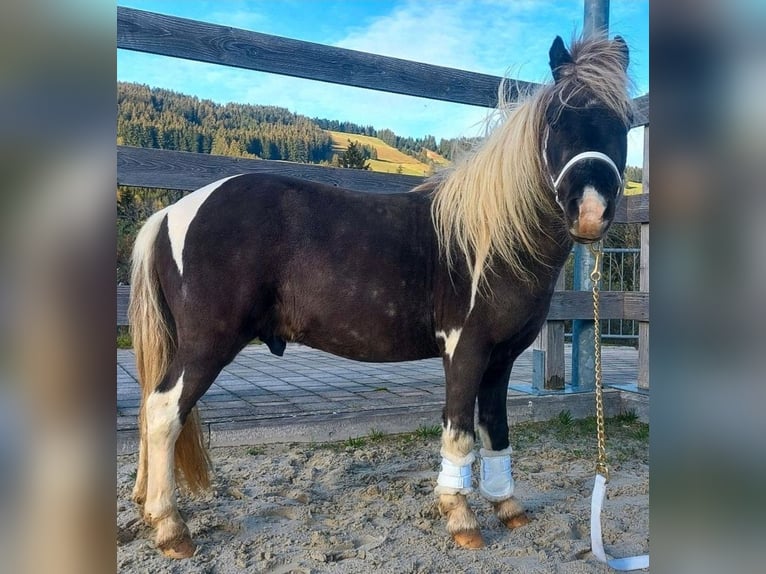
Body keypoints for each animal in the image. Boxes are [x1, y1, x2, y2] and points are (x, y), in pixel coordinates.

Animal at [130, 35, 636, 560]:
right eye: (557, 118)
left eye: (624, 122)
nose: (591, 212)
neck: (491, 239)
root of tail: (171, 212)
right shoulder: (465, 350)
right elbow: (459, 430)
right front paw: (460, 517)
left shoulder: (502, 358)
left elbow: (495, 429)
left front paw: (508, 506)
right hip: (207, 344)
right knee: (162, 413)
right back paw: (170, 527)